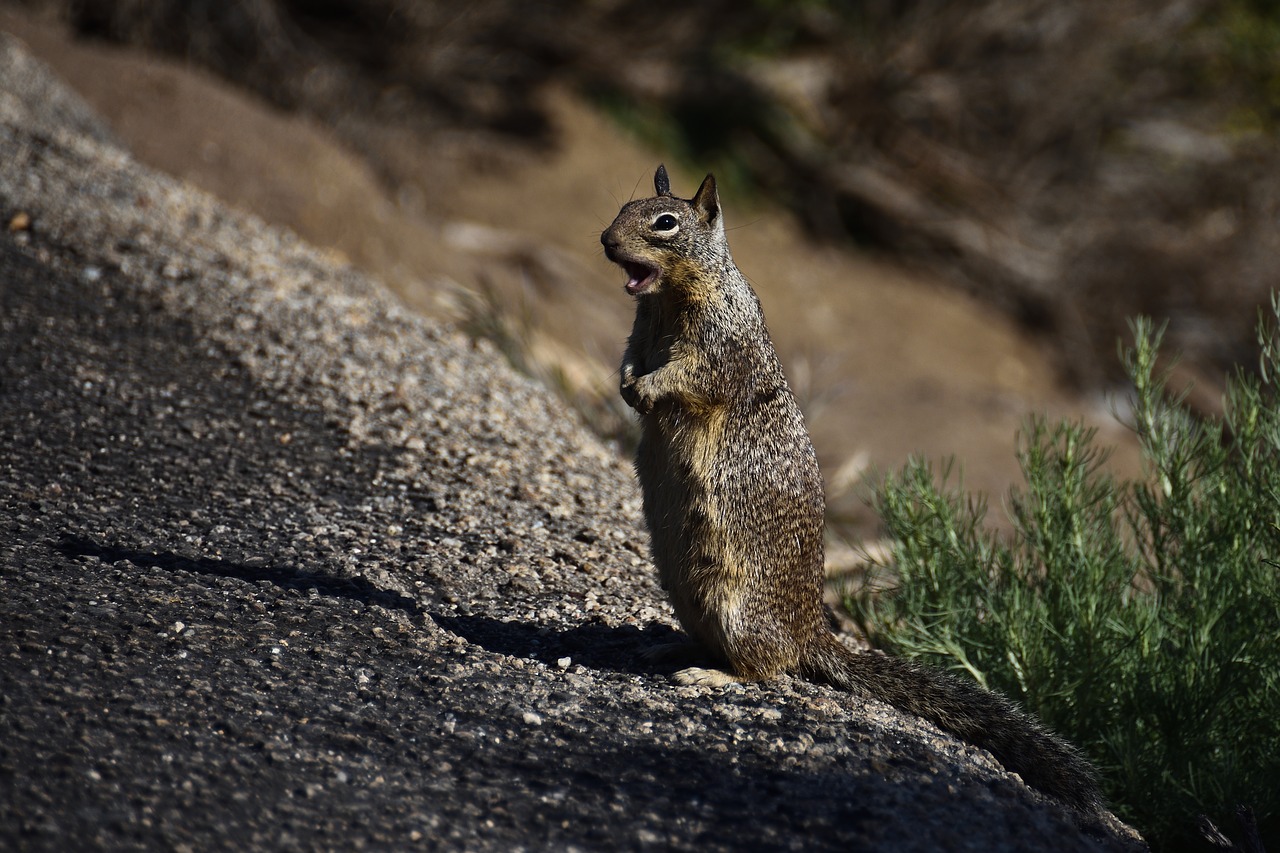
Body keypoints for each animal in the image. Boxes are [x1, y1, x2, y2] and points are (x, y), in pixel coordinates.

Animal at [599, 163, 1111, 819]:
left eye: (666, 222)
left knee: (768, 671)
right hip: (691, 599)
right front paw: (626, 384)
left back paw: (710, 677)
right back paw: (669, 652)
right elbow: (629, 359)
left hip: (737, 608)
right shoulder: (640, 334)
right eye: (623, 207)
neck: (669, 300)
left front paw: (646, 389)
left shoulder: (719, 349)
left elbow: (688, 376)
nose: (607, 242)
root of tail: (812, 632)